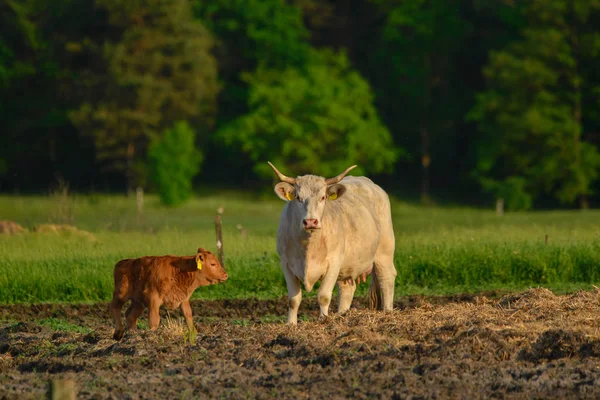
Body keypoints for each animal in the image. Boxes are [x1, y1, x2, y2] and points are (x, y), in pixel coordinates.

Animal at [270, 161, 396, 324]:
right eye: (298, 197)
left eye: (323, 197)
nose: (310, 221)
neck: (308, 247)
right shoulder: (286, 263)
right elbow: (293, 299)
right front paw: (291, 324)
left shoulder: (334, 262)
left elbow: (323, 296)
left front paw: (324, 319)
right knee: (347, 289)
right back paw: (343, 314)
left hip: (384, 250)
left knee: (386, 278)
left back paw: (388, 312)